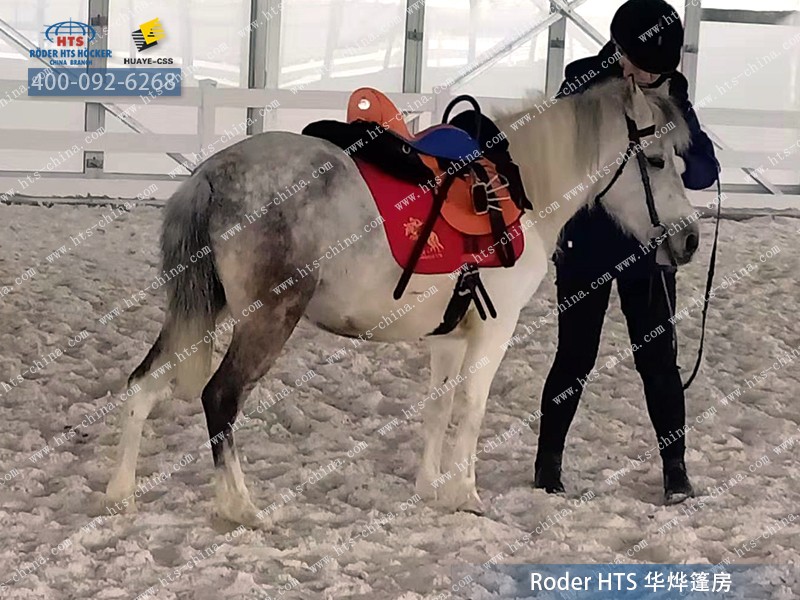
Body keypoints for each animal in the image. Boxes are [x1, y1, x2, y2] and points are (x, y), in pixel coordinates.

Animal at [104, 77, 698, 526]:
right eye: (655, 160)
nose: (690, 239)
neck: (516, 190)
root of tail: (211, 174)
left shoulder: (451, 336)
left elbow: (438, 408)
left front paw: (430, 488)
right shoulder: (495, 330)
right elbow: (472, 409)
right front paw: (466, 496)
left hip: (204, 310)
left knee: (142, 384)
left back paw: (121, 493)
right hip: (266, 319)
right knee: (220, 398)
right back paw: (241, 507)